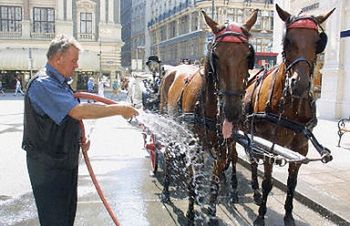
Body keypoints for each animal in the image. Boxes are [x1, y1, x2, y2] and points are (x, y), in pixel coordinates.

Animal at [160, 9, 258, 223]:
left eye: (249, 55)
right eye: (216, 55)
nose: (232, 111)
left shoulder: (221, 150)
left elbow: (214, 182)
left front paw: (212, 212)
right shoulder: (193, 145)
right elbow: (191, 178)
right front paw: (190, 212)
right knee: (169, 154)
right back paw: (165, 190)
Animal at [242, 3, 334, 226]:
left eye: (319, 42)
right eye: (287, 40)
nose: (299, 84)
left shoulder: (301, 147)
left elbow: (292, 183)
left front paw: (289, 215)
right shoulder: (270, 144)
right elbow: (268, 182)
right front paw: (261, 215)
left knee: (252, 159)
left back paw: (255, 191)